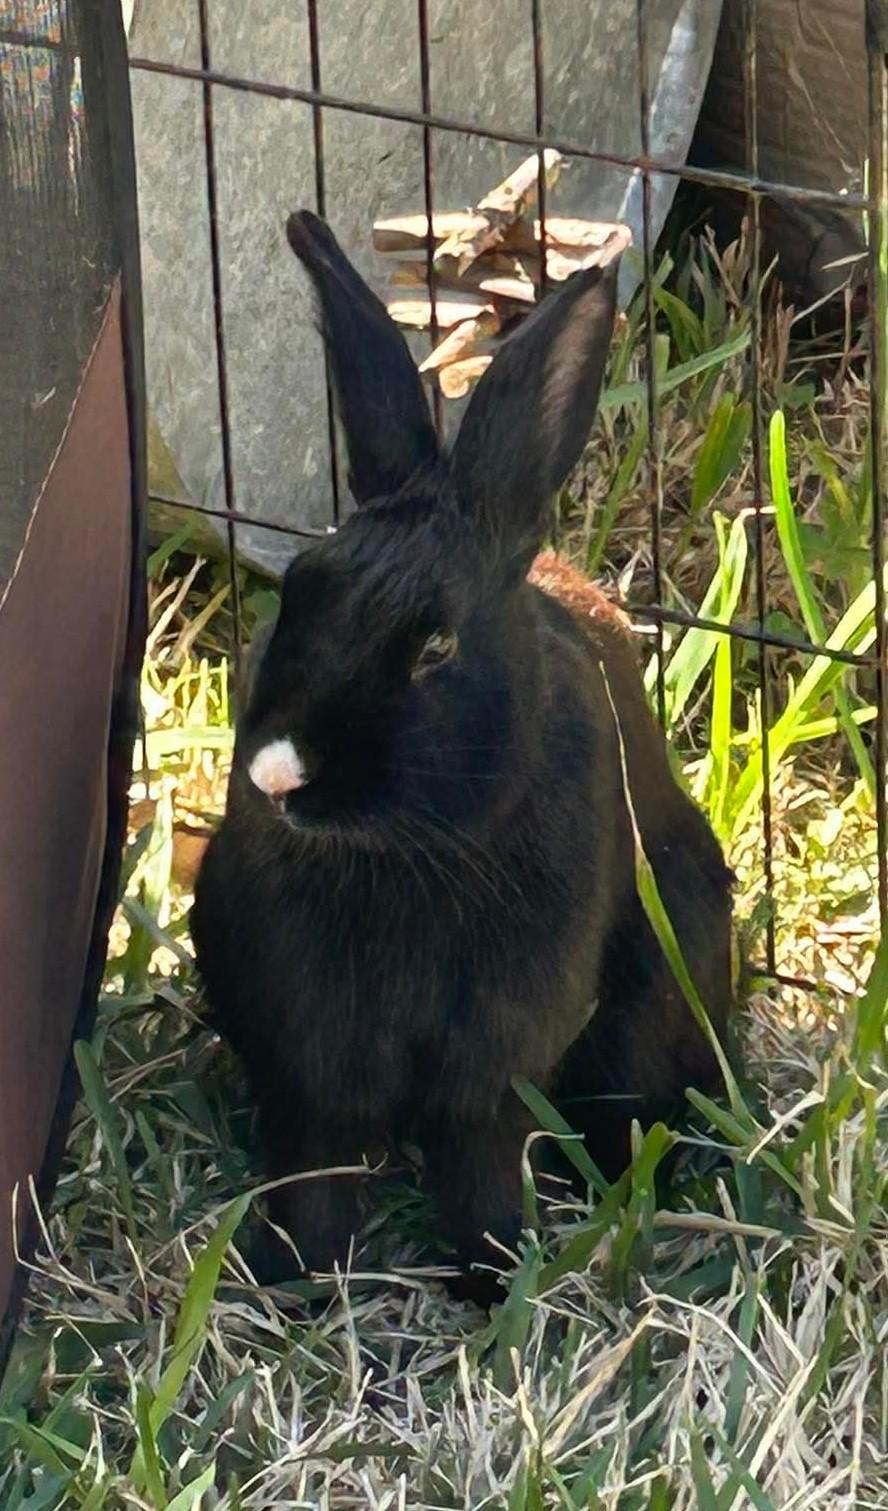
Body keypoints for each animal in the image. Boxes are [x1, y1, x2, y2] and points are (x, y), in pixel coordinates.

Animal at [191, 209, 733, 1302]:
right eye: (298, 589)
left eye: (436, 646)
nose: (277, 774)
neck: (407, 854)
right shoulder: (310, 1050)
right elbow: (316, 1160)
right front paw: (300, 1279)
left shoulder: (499, 1050)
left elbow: (482, 1155)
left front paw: (493, 1279)